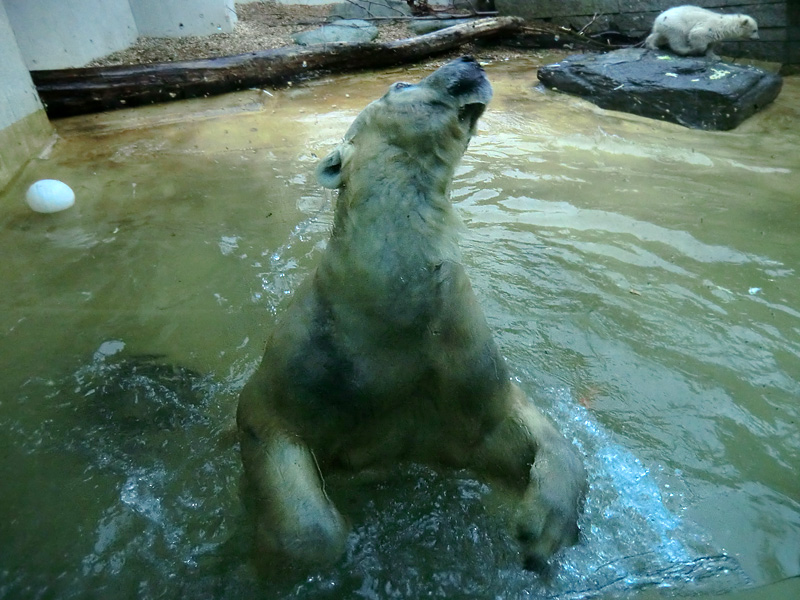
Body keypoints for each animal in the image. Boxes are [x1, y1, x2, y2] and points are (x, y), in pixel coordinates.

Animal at [234, 57, 584, 576]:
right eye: (400, 83)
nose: (468, 60)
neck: (385, 314)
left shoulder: (457, 359)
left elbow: (518, 429)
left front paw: (540, 528)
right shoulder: (303, 368)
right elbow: (278, 450)